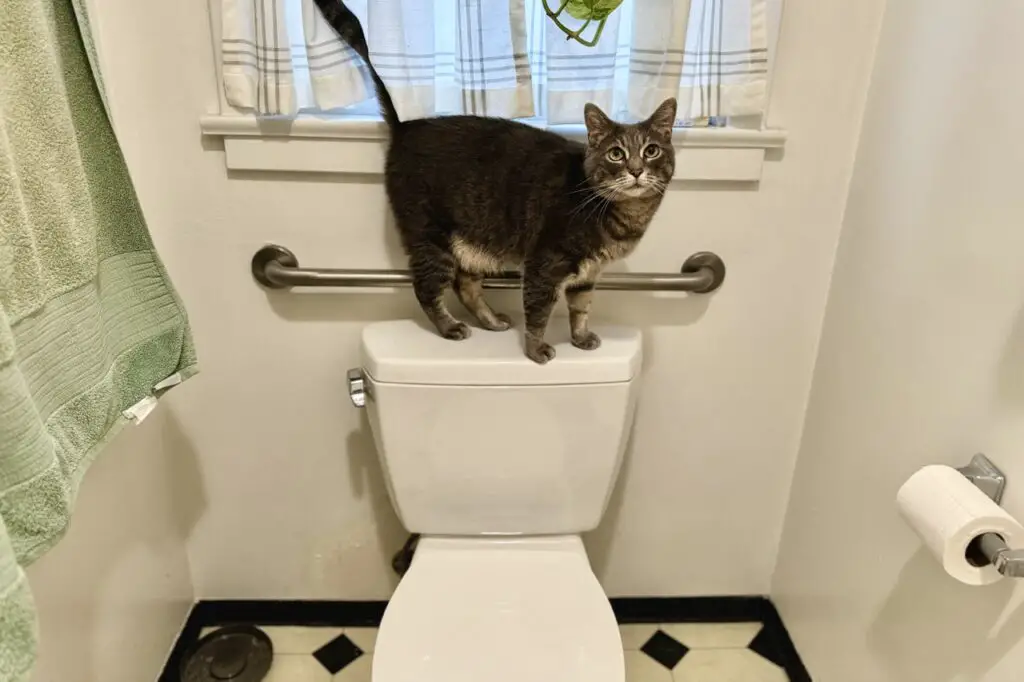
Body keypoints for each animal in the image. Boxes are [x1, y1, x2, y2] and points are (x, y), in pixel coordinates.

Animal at [311, 0, 679, 364]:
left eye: (651, 151)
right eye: (616, 154)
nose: (635, 170)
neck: (626, 217)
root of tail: (406, 127)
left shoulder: (588, 274)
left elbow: (580, 308)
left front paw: (580, 337)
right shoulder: (545, 263)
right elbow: (539, 312)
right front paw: (535, 350)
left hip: (470, 244)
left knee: (465, 286)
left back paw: (490, 320)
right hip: (430, 236)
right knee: (427, 289)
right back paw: (449, 327)